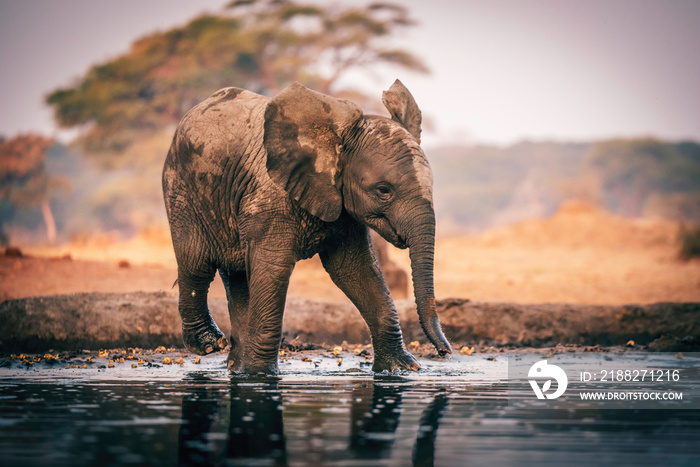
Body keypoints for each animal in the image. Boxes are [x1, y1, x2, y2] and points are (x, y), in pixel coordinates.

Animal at [161, 79, 452, 372]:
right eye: (384, 191)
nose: (444, 351)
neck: (338, 140)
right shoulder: (271, 197)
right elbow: (273, 269)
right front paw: (261, 376)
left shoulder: (342, 205)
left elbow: (355, 269)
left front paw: (401, 369)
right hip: (182, 188)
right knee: (197, 262)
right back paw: (209, 344)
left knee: (236, 274)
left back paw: (235, 366)